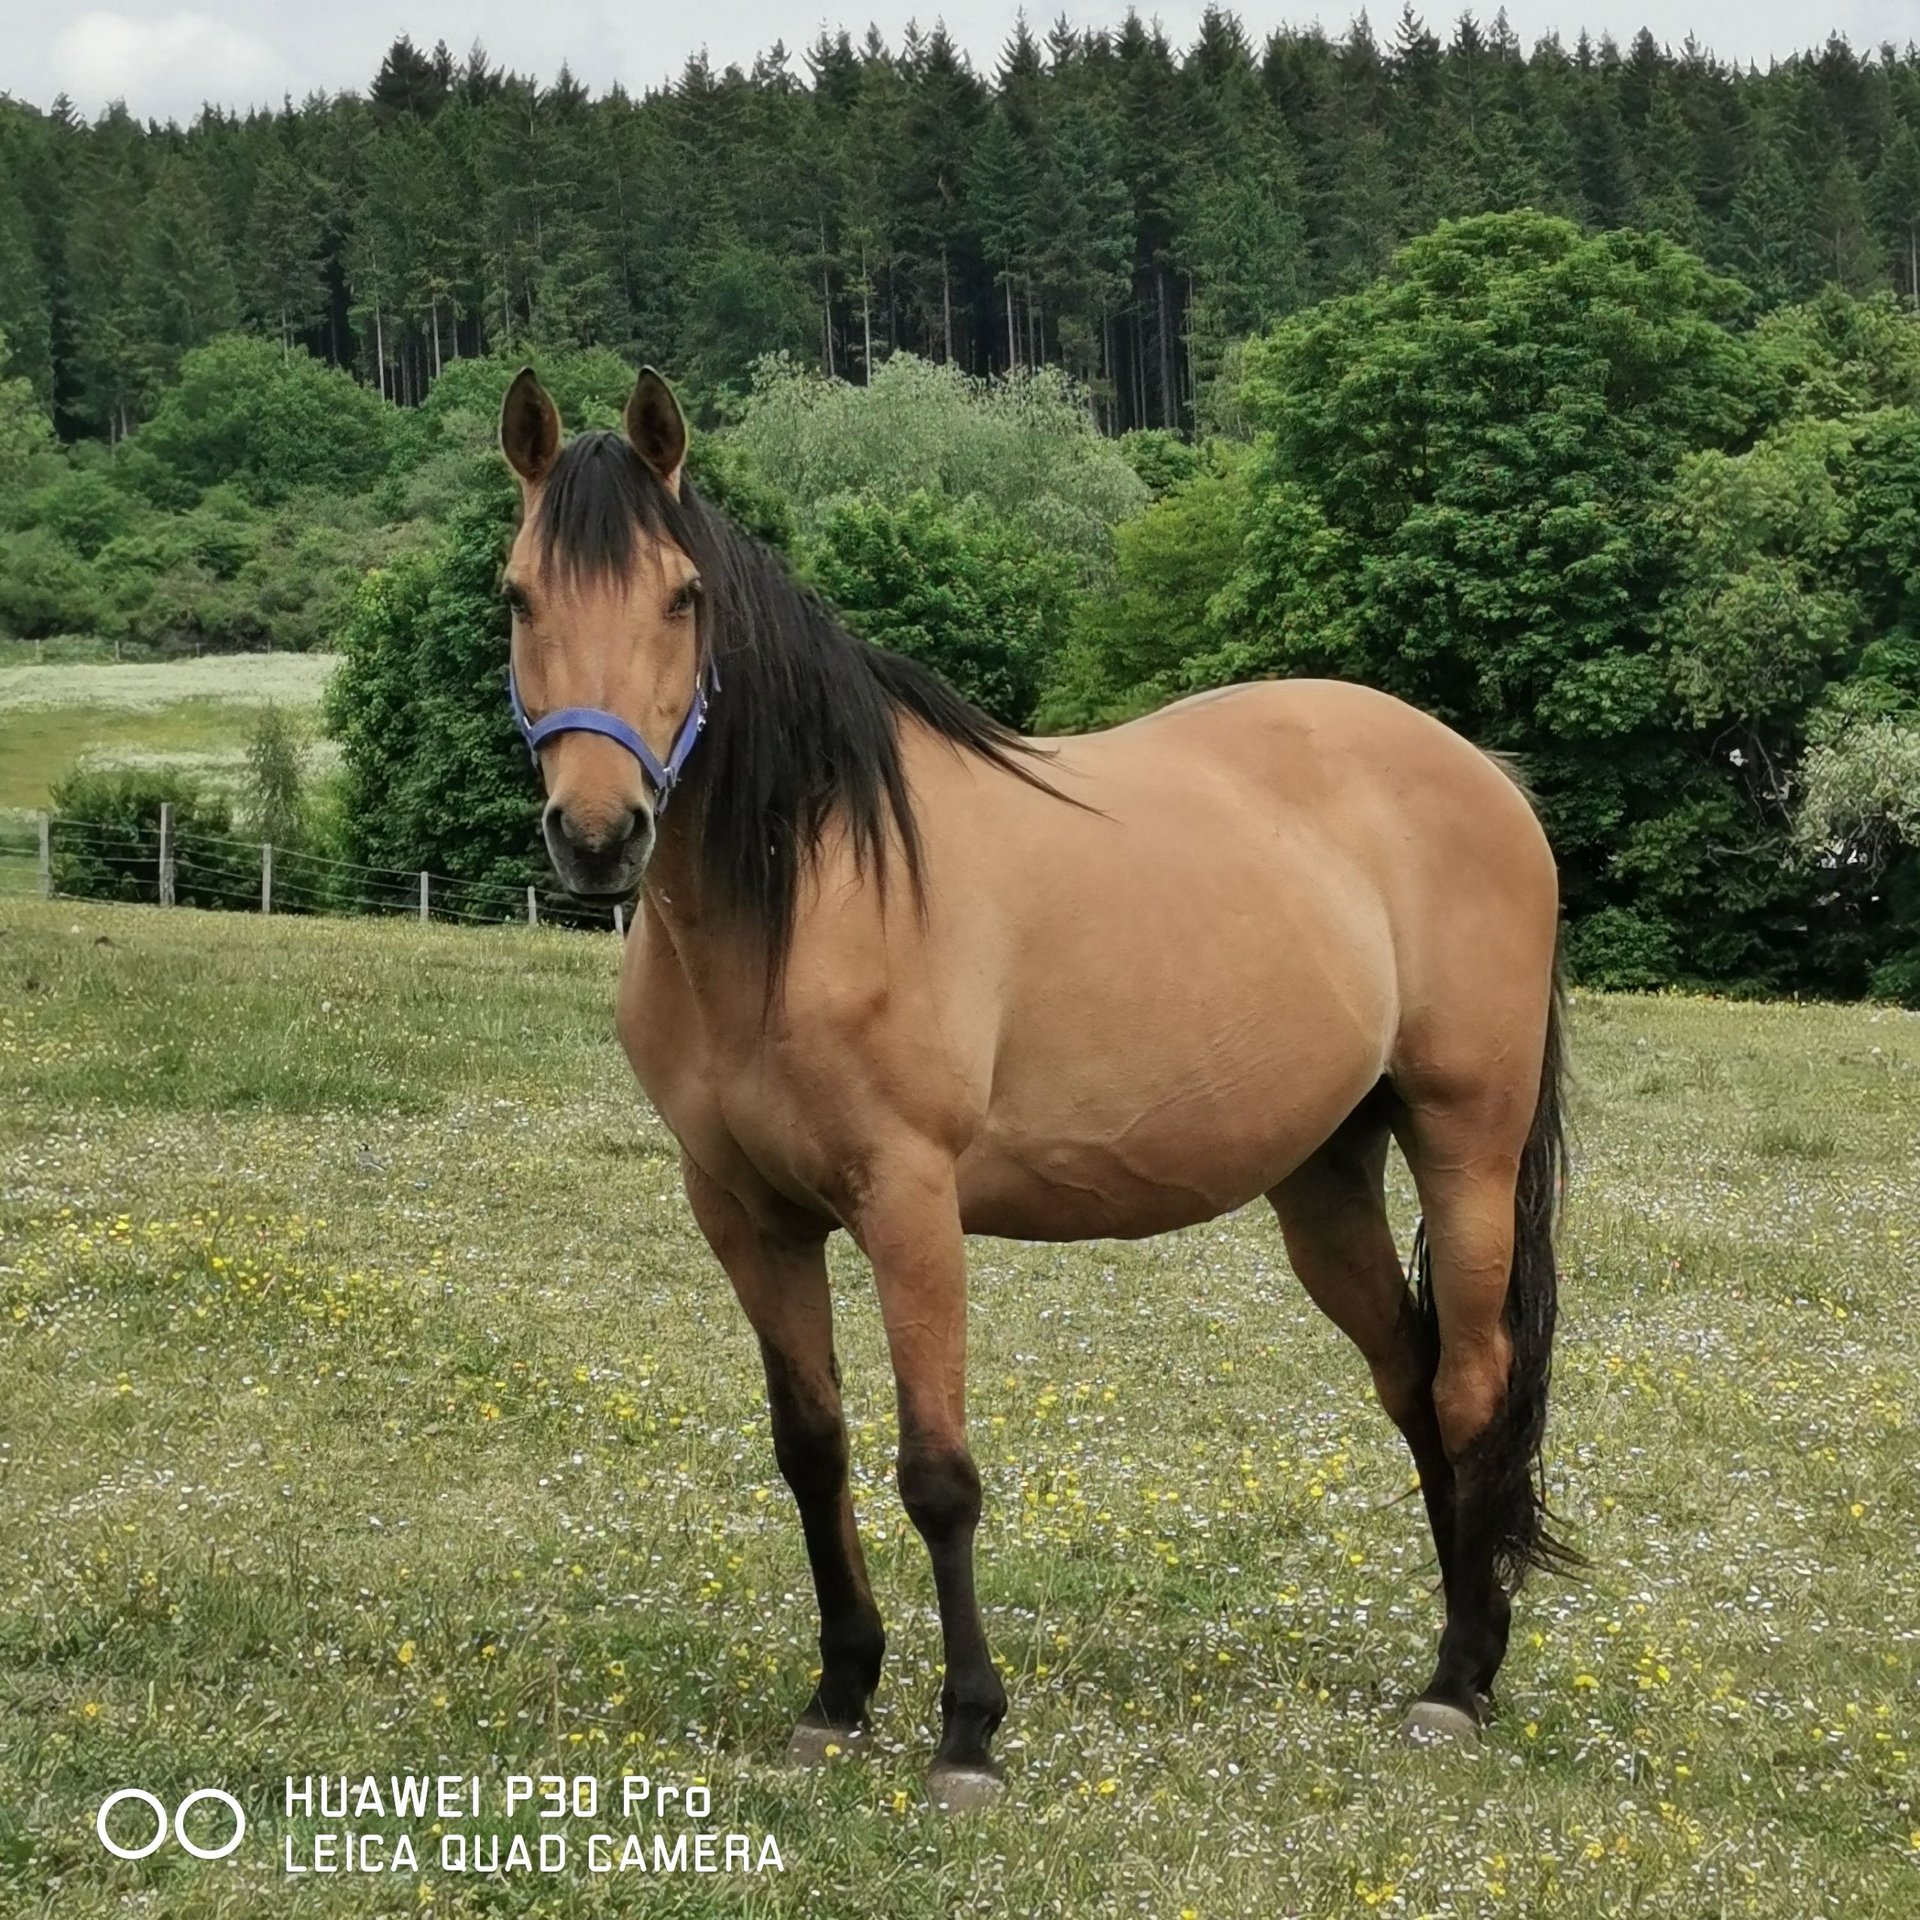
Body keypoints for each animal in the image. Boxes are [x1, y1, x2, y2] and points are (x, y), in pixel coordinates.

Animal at [496, 365, 1572, 1806]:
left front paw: (967, 1733)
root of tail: (1484, 776)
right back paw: (1469, 1649)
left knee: (1471, 1387)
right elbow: (811, 1449)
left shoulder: (910, 1205)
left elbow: (937, 1474)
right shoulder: (745, 1216)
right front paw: (840, 1695)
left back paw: (1459, 1681)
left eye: (683, 595)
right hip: (1324, 1182)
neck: (807, 892)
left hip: (1467, 1147)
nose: (600, 834)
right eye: (518, 595)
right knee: (1414, 1380)